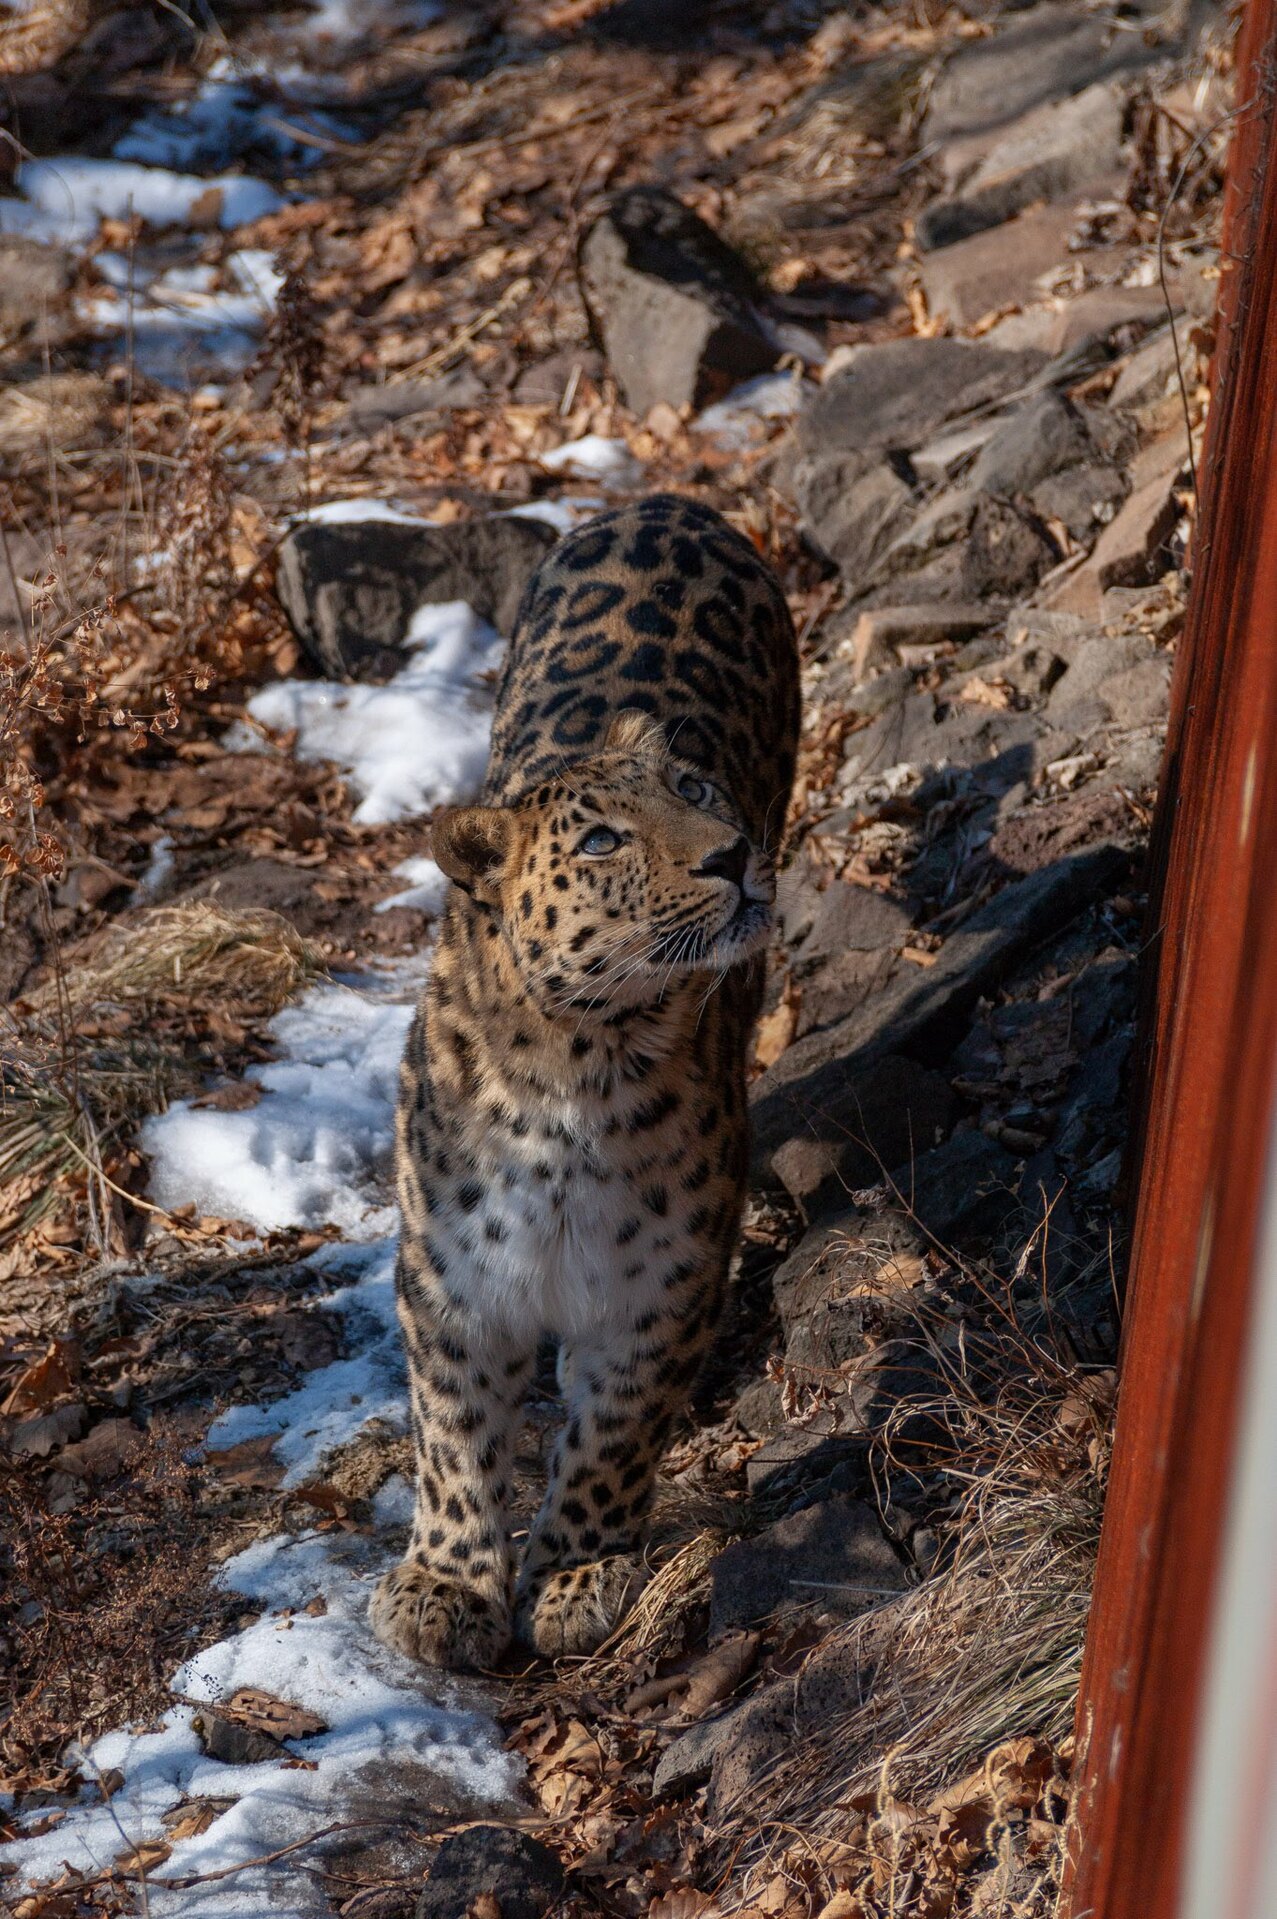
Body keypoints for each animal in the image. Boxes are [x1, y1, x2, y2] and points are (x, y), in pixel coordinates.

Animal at [368, 495, 798, 1665]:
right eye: (603, 840)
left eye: (693, 787)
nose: (730, 851)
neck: (575, 1065)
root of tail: (667, 502)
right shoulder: (450, 1282)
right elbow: (451, 1437)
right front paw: (446, 1583)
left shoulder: (659, 1287)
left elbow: (614, 1433)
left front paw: (574, 1571)